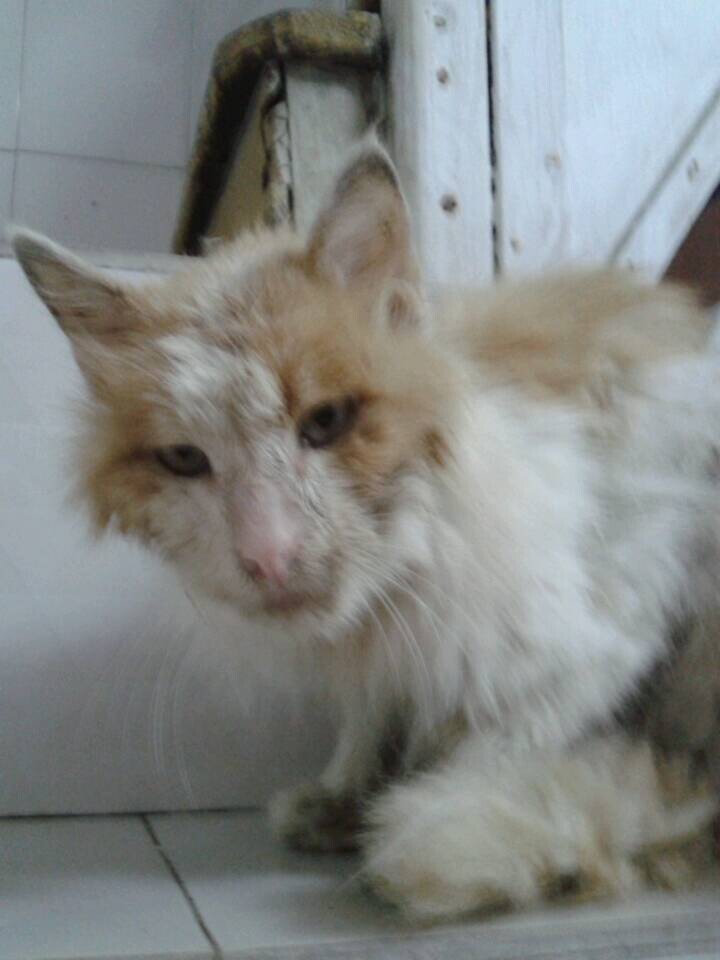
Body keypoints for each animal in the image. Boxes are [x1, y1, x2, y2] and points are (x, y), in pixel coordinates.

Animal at [12, 140, 720, 920]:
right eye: (185, 460)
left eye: (326, 422)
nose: (268, 554)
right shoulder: (377, 660)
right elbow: (366, 721)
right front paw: (341, 801)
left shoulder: (587, 653)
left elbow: (486, 755)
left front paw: (421, 817)